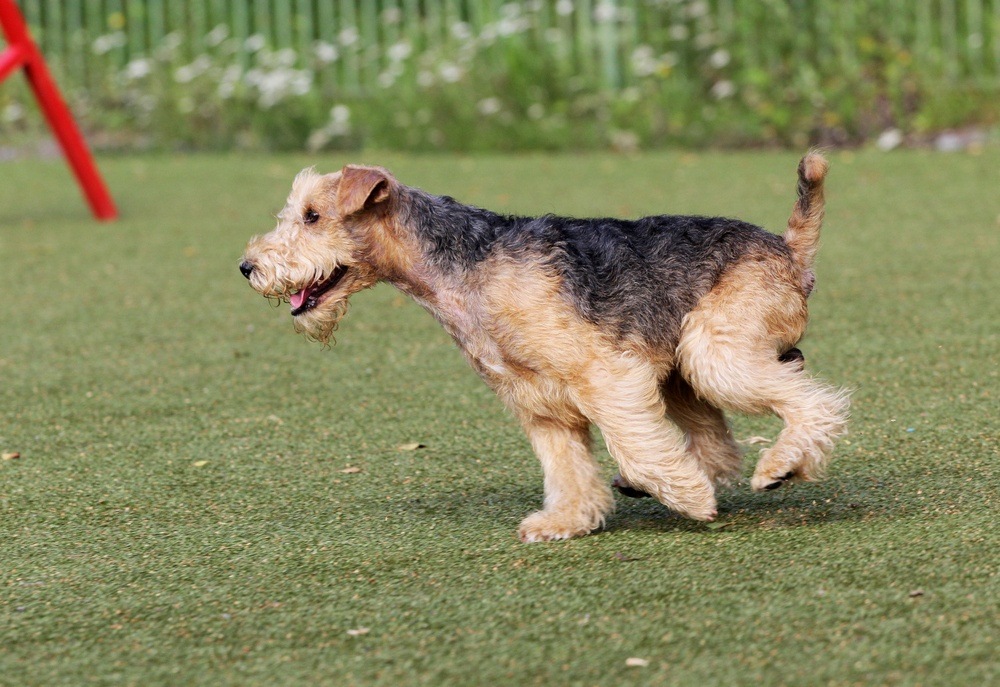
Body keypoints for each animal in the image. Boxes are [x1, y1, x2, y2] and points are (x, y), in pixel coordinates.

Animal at [238, 153, 848, 540]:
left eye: (313, 216)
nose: (248, 267)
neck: (464, 269)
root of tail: (788, 249)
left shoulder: (605, 375)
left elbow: (637, 446)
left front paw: (690, 499)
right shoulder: (538, 401)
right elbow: (566, 467)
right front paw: (566, 521)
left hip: (713, 356)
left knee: (813, 401)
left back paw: (780, 466)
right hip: (683, 372)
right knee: (721, 440)